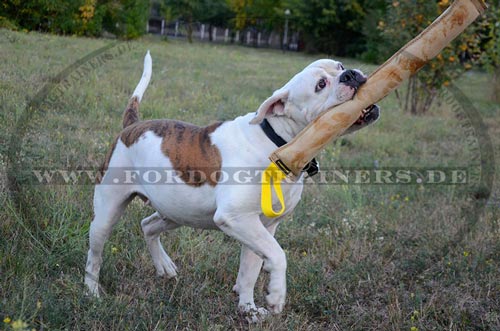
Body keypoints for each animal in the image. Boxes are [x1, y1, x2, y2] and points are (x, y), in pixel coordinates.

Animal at [86, 51, 380, 322]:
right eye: (320, 85)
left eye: (339, 66)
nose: (350, 74)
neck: (278, 143)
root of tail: (132, 126)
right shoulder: (237, 218)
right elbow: (278, 255)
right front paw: (276, 295)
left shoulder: (262, 226)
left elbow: (251, 270)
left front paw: (248, 310)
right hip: (107, 213)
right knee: (95, 255)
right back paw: (92, 293)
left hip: (177, 211)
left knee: (148, 225)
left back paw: (164, 266)